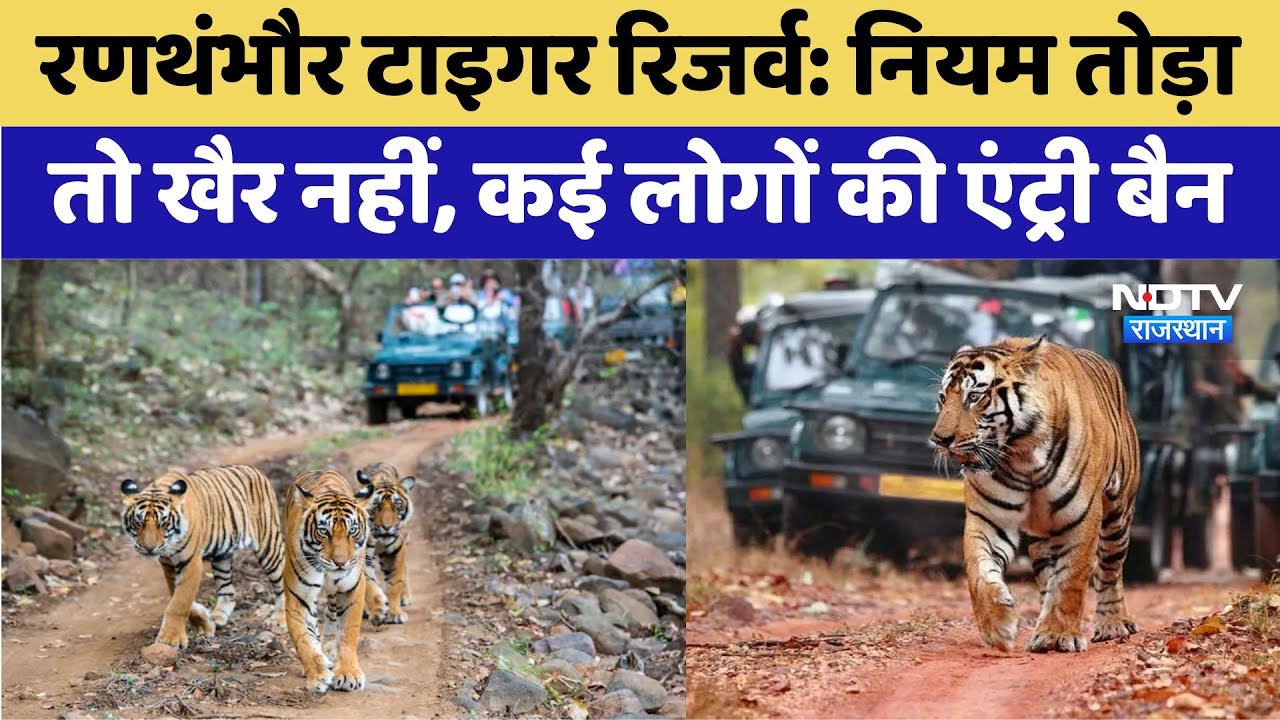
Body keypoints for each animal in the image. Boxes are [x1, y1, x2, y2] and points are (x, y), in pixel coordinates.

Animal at [120, 465, 286, 650]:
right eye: (138, 523)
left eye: (164, 523)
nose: (149, 548)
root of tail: (253, 469)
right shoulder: (168, 564)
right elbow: (177, 596)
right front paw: (205, 623)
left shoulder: (190, 562)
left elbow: (180, 601)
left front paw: (170, 639)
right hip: (222, 555)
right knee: (228, 590)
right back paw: (219, 617)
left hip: (269, 544)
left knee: (282, 582)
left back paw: (279, 619)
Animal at [283, 469, 374, 693]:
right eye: (324, 531)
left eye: (352, 530)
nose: (340, 562)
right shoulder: (298, 595)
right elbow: (303, 637)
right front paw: (317, 674)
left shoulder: (352, 589)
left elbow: (349, 632)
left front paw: (349, 674)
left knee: (332, 614)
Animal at [355, 461, 417, 625]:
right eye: (376, 506)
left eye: (397, 505)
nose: (387, 527)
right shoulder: (363, 556)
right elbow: (369, 584)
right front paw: (378, 610)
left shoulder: (397, 550)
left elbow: (394, 582)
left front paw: (394, 613)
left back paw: (404, 597)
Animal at [930, 336, 1140, 654]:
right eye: (943, 399)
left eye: (974, 397)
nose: (939, 440)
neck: (1022, 455)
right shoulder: (989, 519)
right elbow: (979, 573)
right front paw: (998, 627)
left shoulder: (1081, 517)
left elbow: (1070, 578)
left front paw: (1059, 634)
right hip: (1044, 537)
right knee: (1047, 574)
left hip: (1117, 513)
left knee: (1110, 570)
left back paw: (1112, 624)